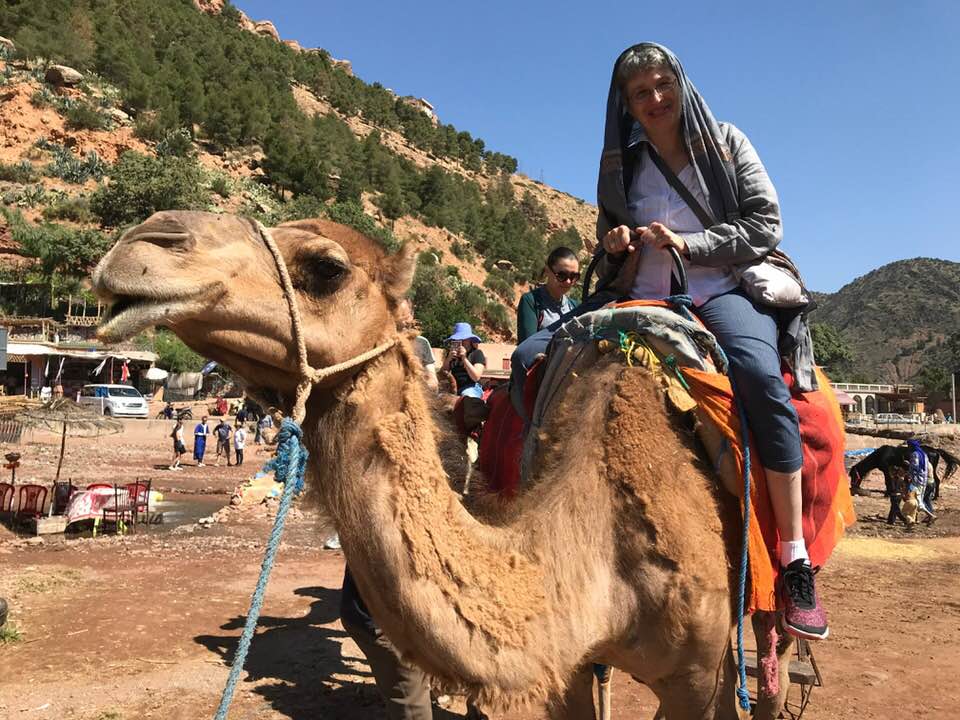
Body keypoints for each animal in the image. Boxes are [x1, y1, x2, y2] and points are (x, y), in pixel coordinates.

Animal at [92, 210, 799, 719]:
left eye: (326, 267)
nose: (141, 242)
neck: (605, 556)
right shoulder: (567, 668)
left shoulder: (695, 675)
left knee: (772, 664)